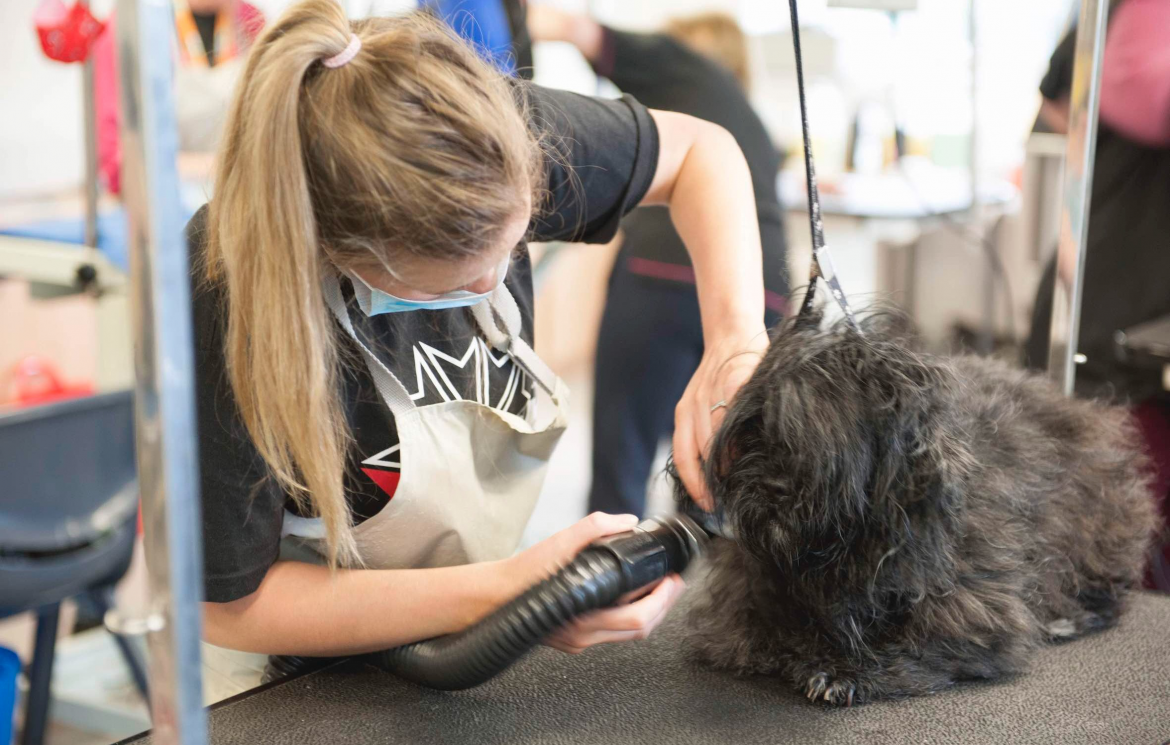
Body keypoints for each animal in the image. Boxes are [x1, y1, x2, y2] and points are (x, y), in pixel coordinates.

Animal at [683, 311, 1155, 706]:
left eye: (821, 441)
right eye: (754, 429)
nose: (773, 485)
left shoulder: (973, 607)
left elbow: (911, 640)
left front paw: (840, 669)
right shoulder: (745, 594)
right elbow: (757, 629)